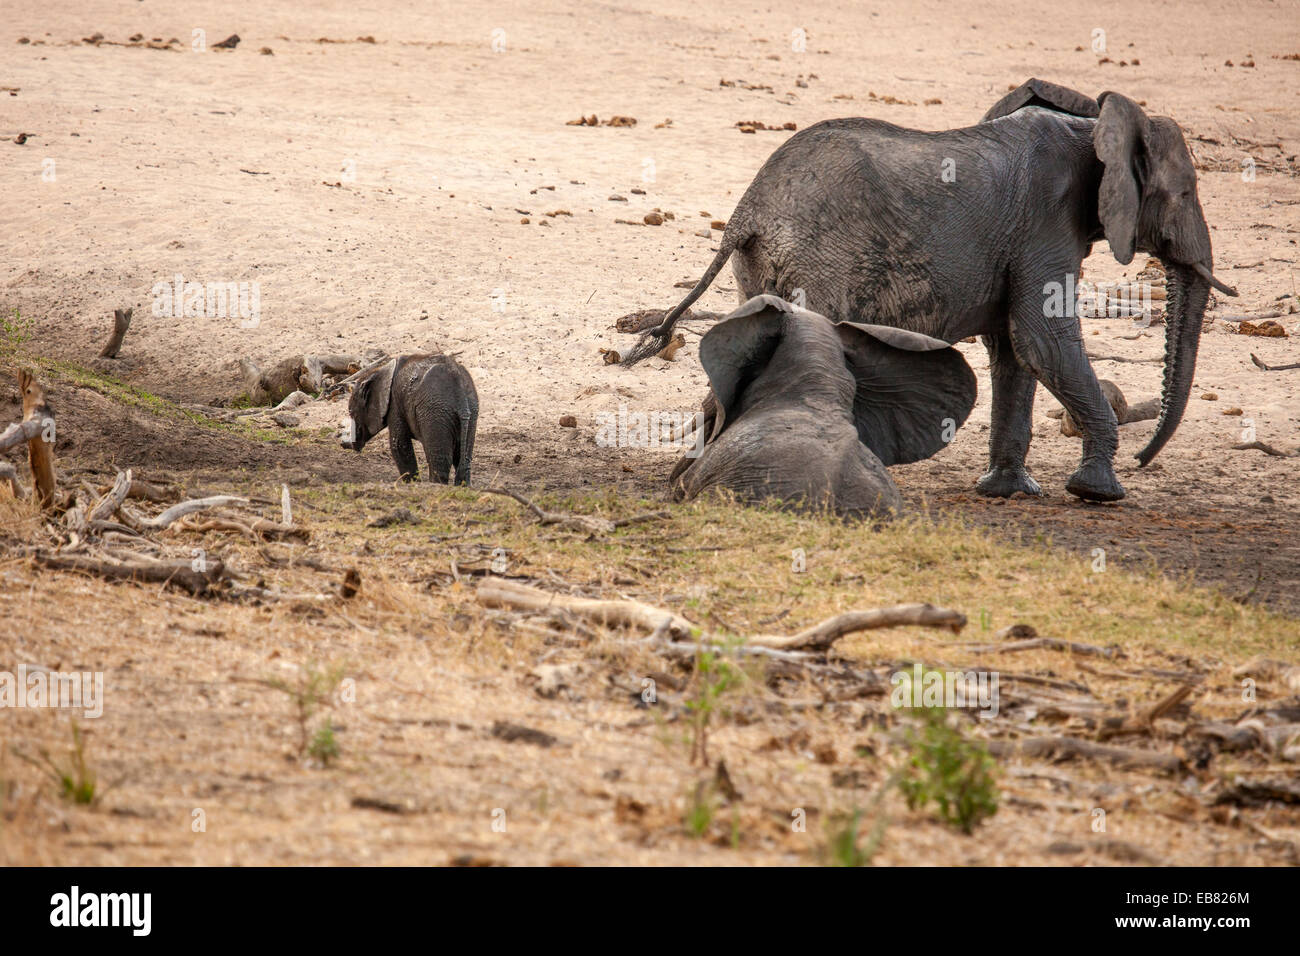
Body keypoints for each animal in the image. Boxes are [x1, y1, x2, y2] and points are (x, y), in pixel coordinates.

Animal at [338, 353, 480, 486]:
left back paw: (435, 484)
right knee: (463, 459)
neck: (380, 370)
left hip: (435, 412)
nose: (342, 443)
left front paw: (412, 484)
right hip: (471, 411)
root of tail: (461, 396)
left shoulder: (395, 404)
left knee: (438, 459)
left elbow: (399, 445)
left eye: (351, 412)